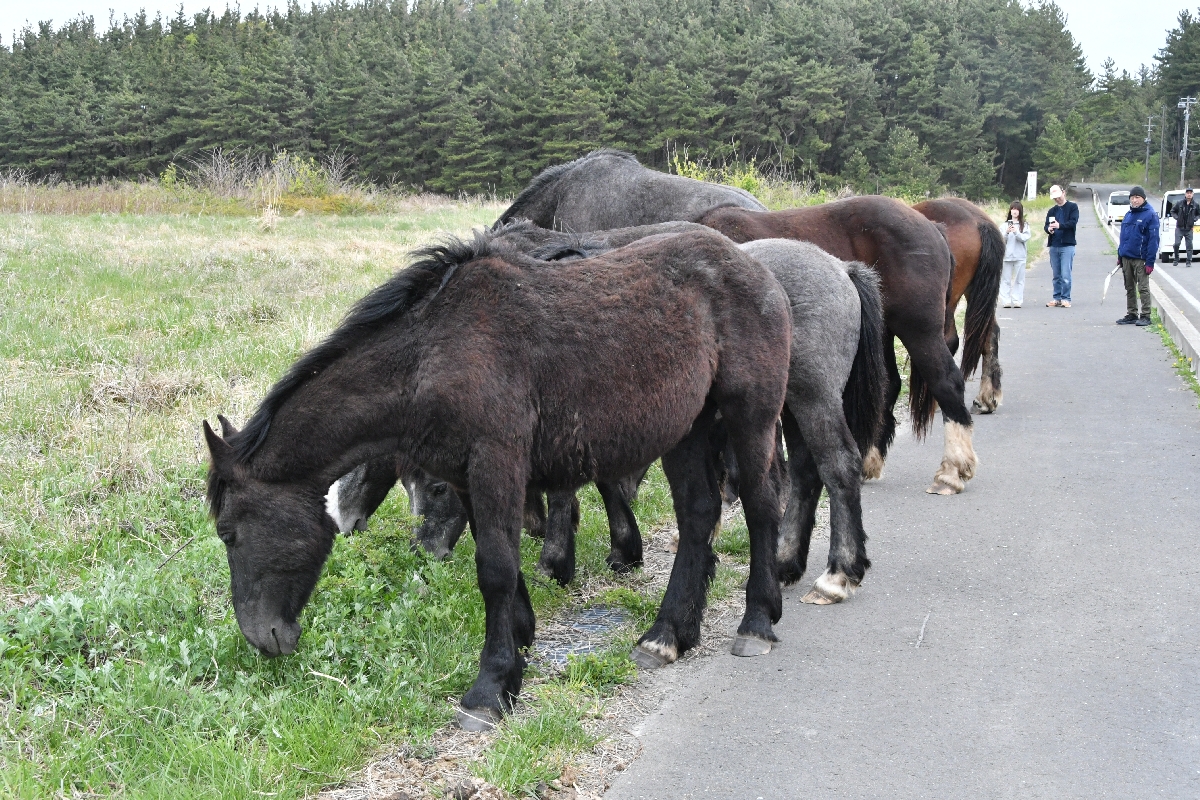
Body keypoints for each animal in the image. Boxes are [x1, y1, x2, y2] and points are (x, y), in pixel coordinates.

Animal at [202, 226, 792, 730]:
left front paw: (490, 688)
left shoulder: (496, 462)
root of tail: (756, 268)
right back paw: (668, 634)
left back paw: (757, 620)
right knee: (697, 517)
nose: (263, 637)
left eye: (228, 532)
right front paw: (518, 647)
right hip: (687, 429)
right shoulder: (470, 477)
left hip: (750, 418)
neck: (432, 356)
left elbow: (495, 570)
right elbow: (501, 559)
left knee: (763, 505)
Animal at [327, 226, 888, 606]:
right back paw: (787, 561)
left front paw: (563, 558)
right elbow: (602, 482)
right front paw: (614, 547)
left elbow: (577, 490)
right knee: (805, 475)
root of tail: (840, 267)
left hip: (808, 398)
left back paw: (839, 571)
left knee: (837, 466)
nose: (426, 553)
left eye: (440, 487)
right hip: (783, 405)